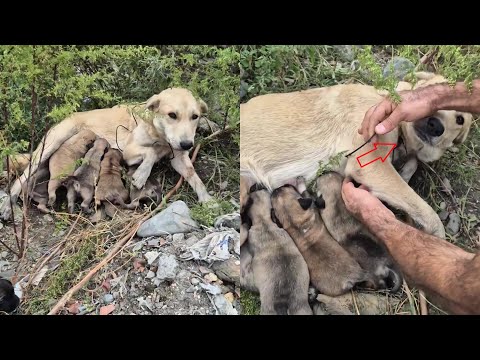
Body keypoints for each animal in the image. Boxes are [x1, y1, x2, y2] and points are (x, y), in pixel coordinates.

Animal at [1, 88, 212, 221]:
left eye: (195, 117)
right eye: (172, 115)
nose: (187, 144)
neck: (159, 135)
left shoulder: (179, 158)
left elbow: (194, 177)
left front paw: (207, 200)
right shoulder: (128, 151)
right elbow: (151, 153)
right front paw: (141, 175)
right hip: (50, 146)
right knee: (20, 178)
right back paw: (9, 204)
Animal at [240, 72, 472, 239]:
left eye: (460, 119)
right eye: (435, 93)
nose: (435, 126)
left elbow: (411, 168)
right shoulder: (371, 166)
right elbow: (426, 210)